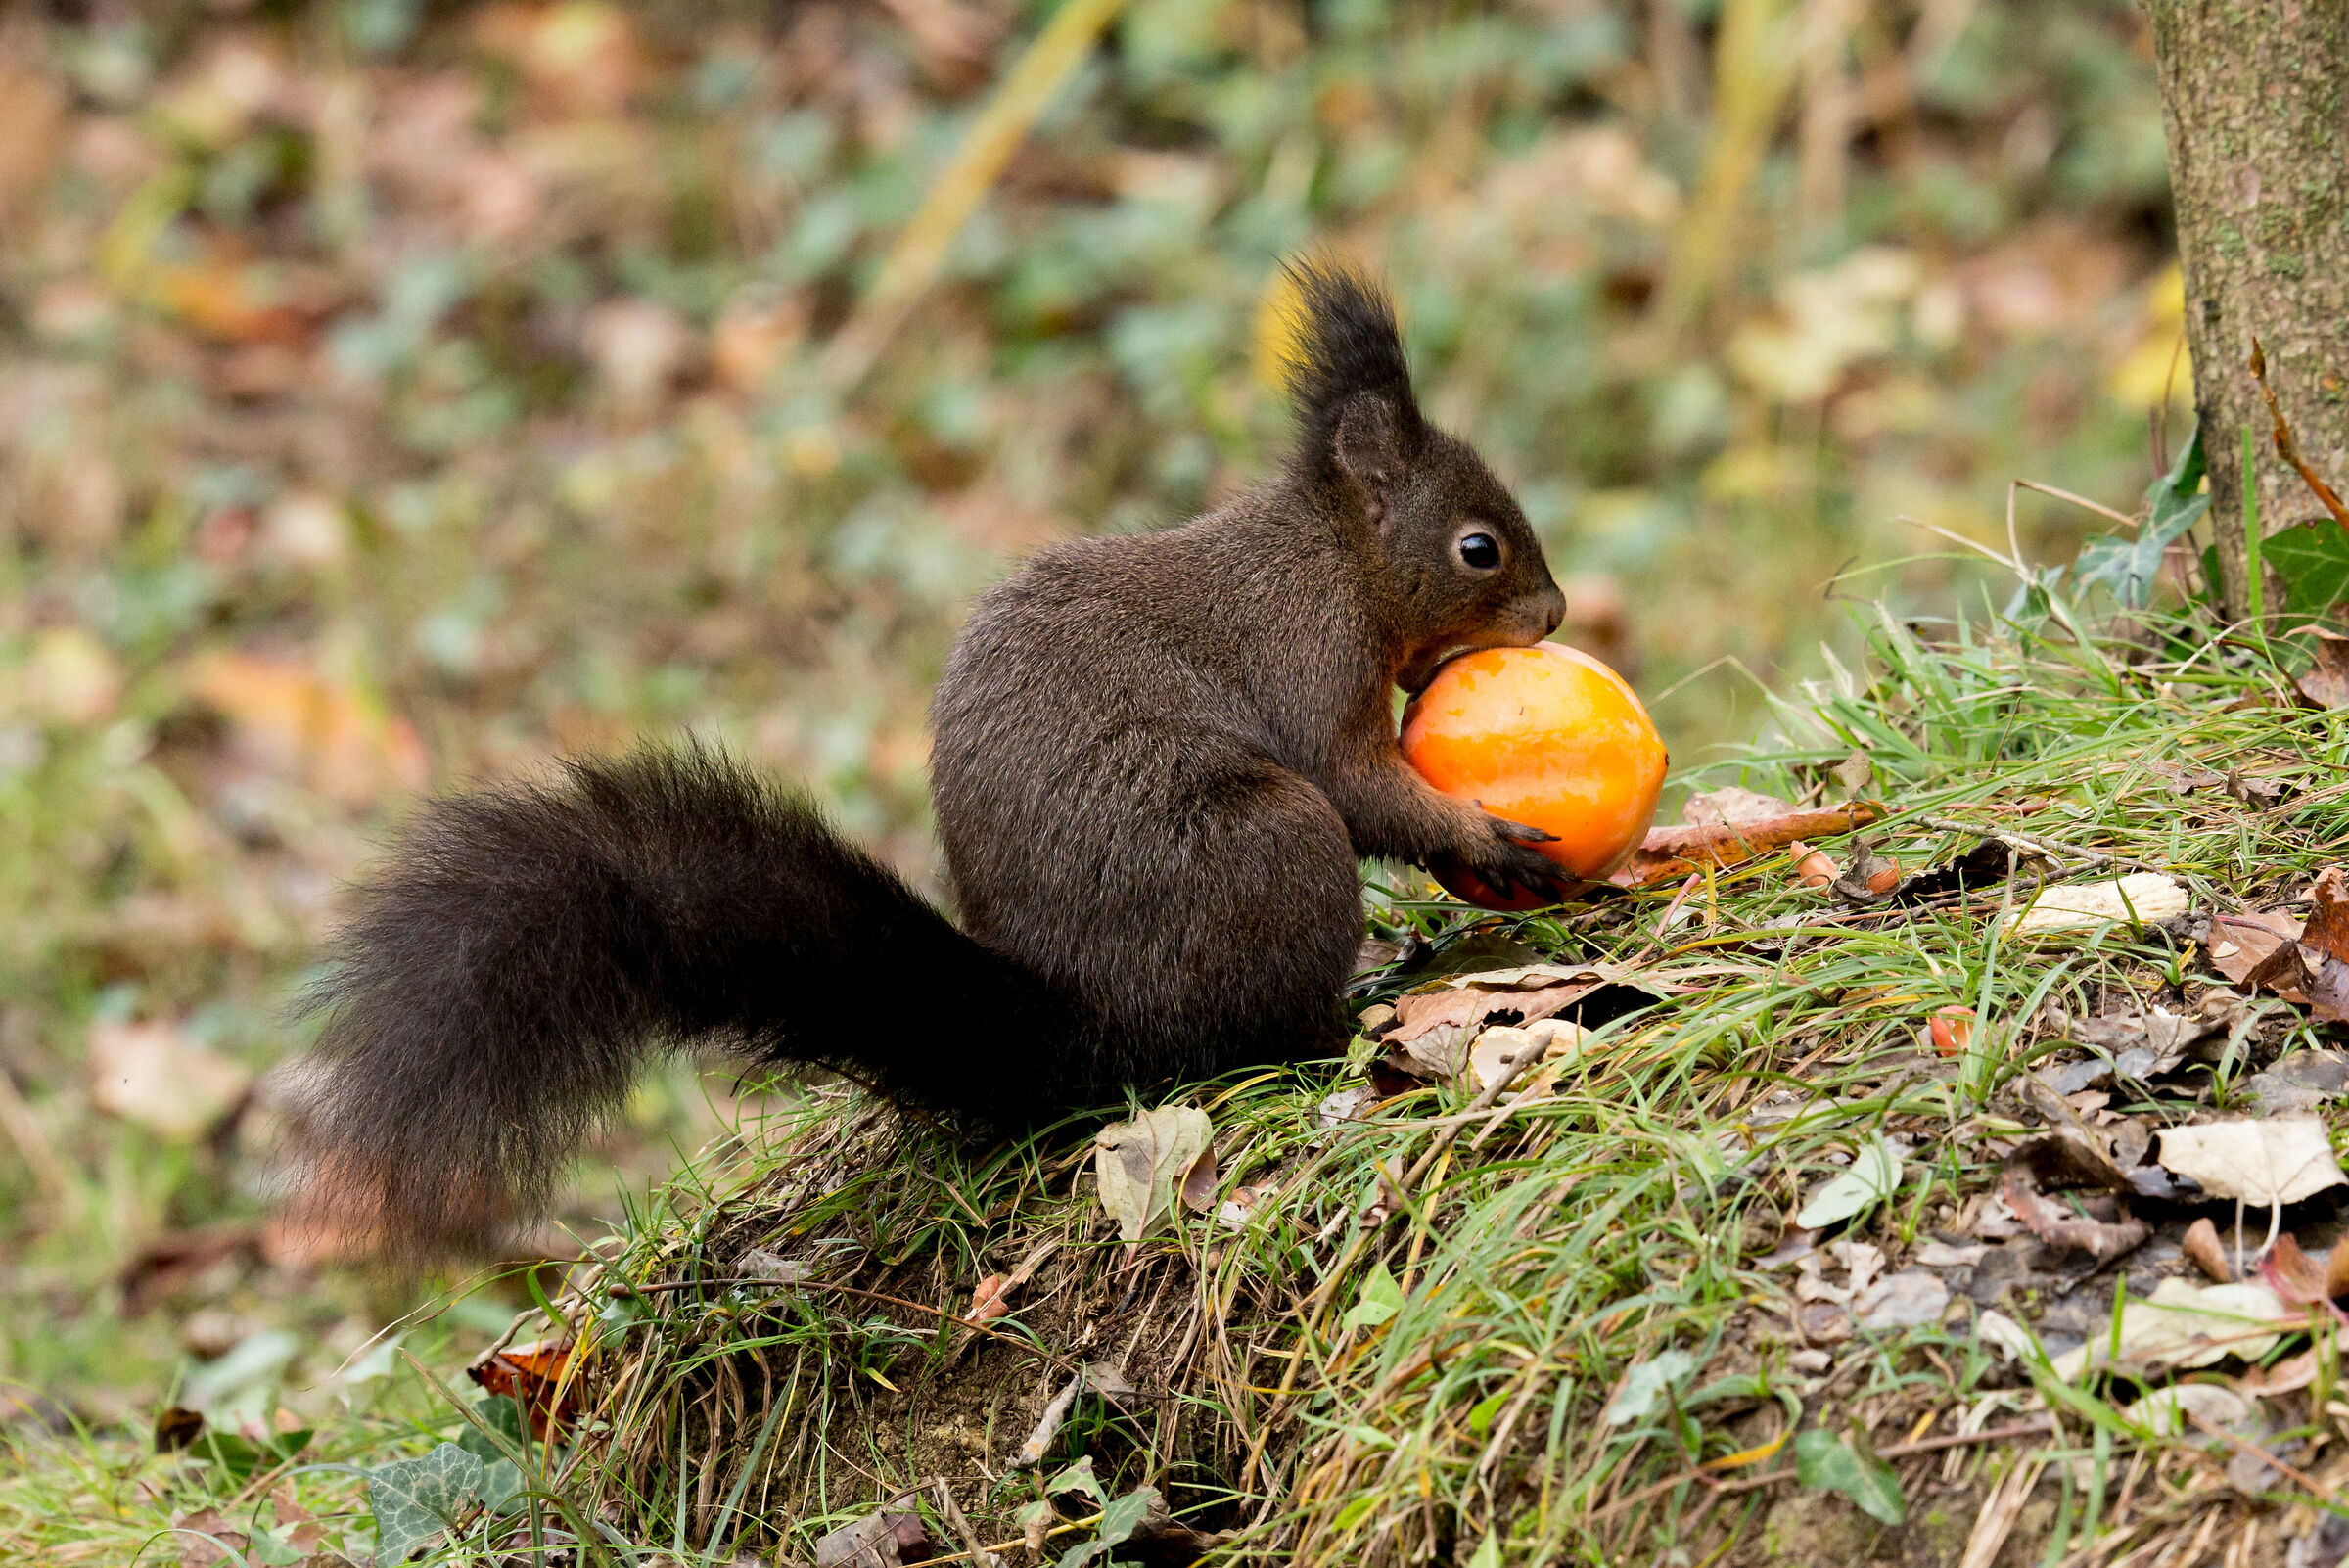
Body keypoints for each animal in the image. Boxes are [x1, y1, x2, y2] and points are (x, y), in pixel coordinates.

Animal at [285, 262, 1571, 1253]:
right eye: (1479, 547)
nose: (1556, 613)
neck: (1335, 555)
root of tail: (1096, 1028)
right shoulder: (1308, 659)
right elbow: (1359, 789)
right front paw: (1486, 837)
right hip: (1269, 847)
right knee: (1260, 1021)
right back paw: (1343, 1013)